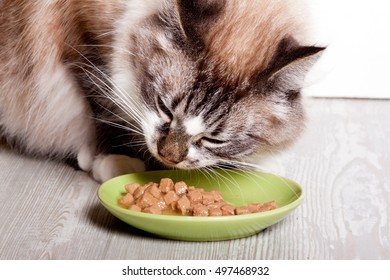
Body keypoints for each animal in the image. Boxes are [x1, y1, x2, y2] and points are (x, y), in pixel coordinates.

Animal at [0, 0, 322, 182]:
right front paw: (114, 161)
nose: (169, 158)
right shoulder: (84, 42)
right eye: (164, 107)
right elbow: (102, 109)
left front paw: (261, 165)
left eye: (214, 139)